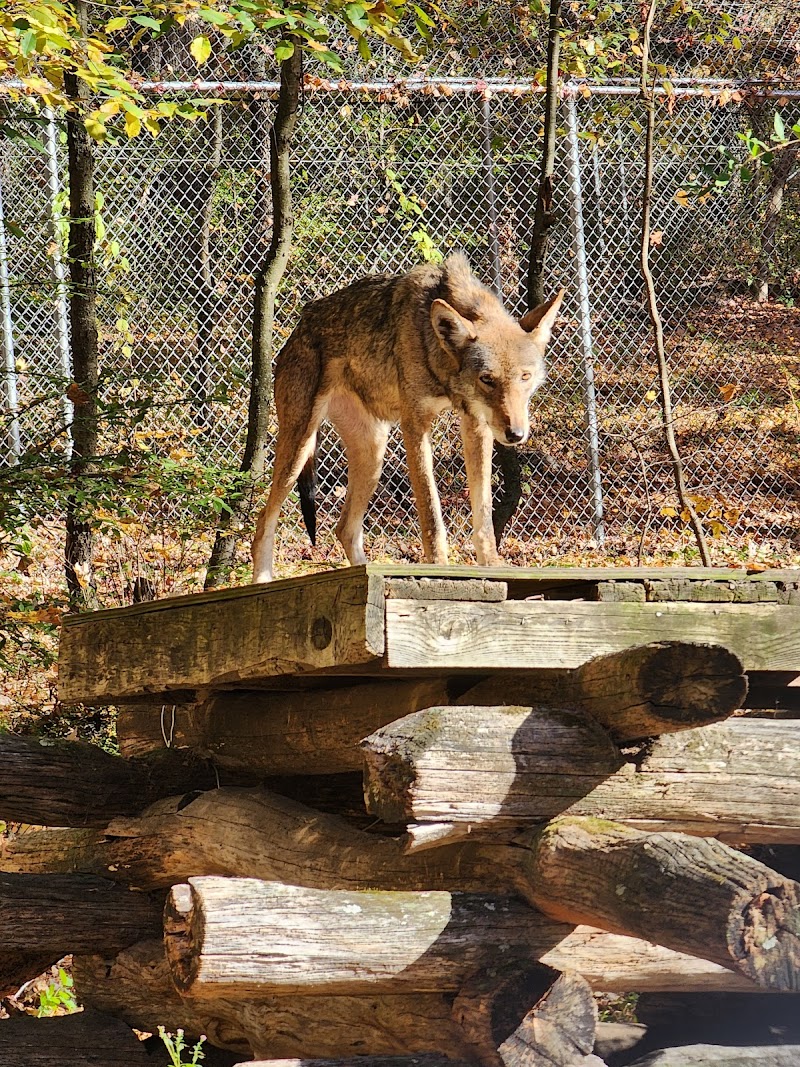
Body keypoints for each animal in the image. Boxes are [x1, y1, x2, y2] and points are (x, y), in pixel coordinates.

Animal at [251, 253, 564, 582]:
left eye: (524, 377)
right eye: (487, 379)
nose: (516, 434)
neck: (440, 361)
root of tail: (300, 324)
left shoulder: (477, 426)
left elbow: (484, 514)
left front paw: (490, 565)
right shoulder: (415, 425)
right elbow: (431, 513)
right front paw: (439, 566)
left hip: (372, 455)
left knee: (345, 529)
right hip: (299, 447)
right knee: (263, 522)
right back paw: (262, 583)